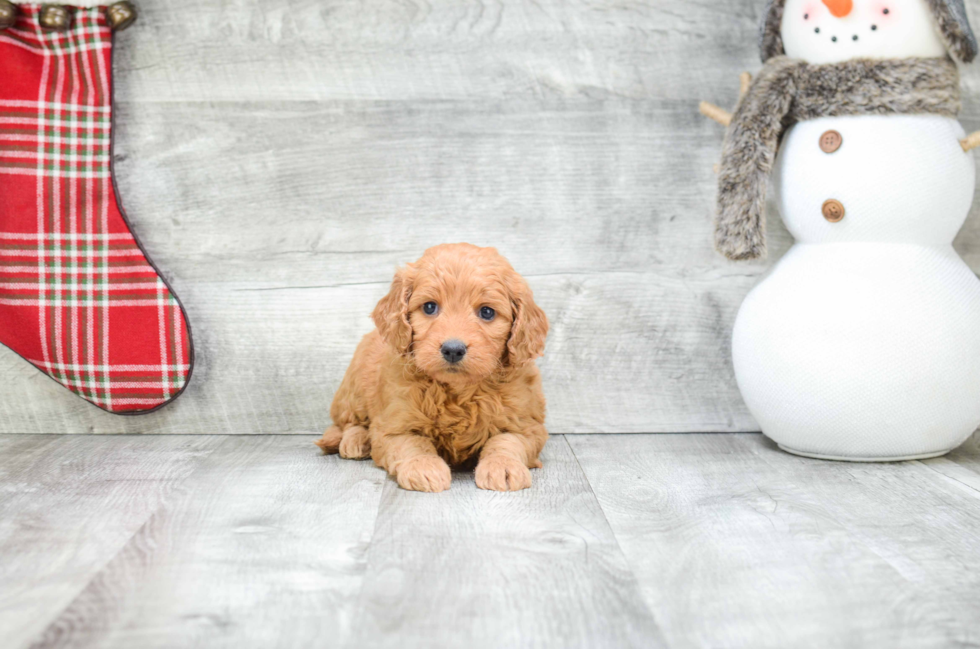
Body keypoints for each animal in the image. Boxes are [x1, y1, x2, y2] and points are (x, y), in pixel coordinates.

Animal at [320, 243, 552, 492]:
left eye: (487, 312)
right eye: (430, 307)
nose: (453, 349)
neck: (458, 391)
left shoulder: (526, 424)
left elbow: (507, 440)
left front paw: (504, 466)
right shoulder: (393, 425)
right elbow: (412, 443)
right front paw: (423, 467)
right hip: (355, 387)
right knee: (347, 422)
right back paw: (357, 440)